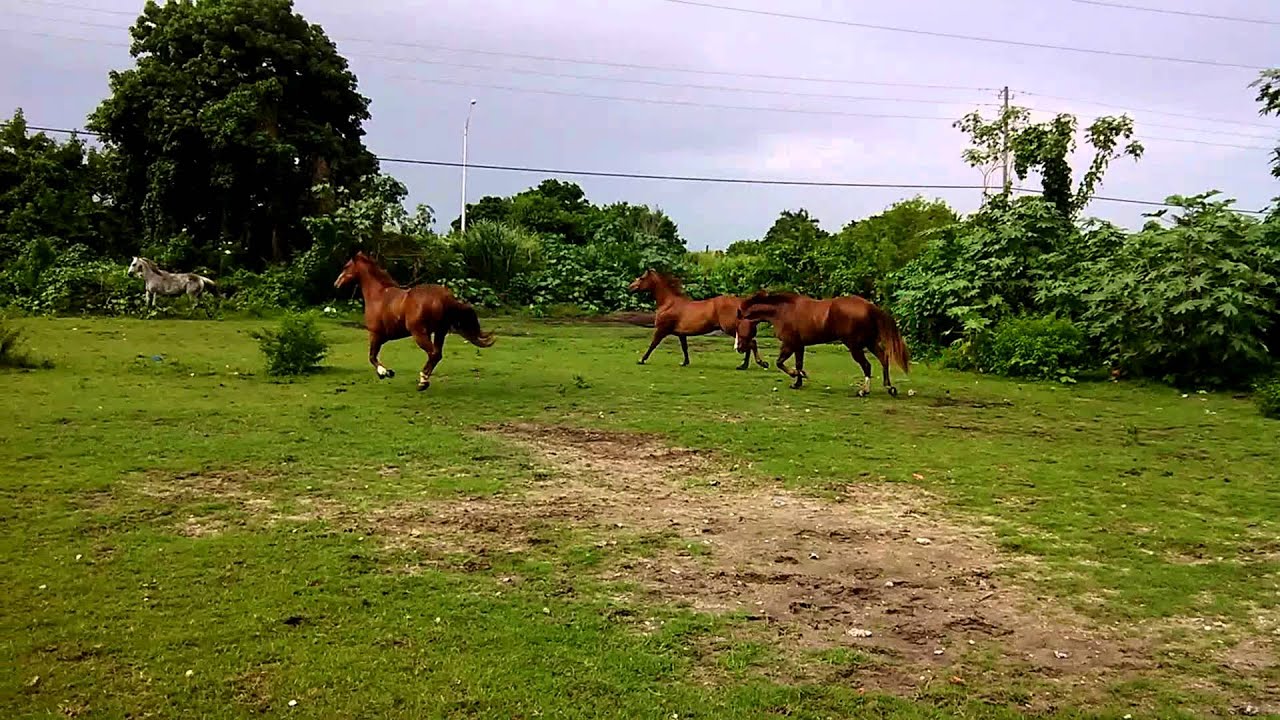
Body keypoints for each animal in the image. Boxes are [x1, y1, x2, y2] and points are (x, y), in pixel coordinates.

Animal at [334, 251, 495, 391]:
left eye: (346, 266)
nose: (336, 284)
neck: (378, 295)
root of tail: (445, 297)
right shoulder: (383, 337)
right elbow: (373, 356)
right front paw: (387, 372)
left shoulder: (375, 334)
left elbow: (372, 357)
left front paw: (384, 373)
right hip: (439, 332)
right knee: (437, 354)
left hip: (419, 333)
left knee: (433, 353)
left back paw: (423, 381)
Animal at [627, 268, 769, 370]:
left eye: (642, 278)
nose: (630, 287)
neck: (669, 303)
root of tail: (742, 303)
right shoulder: (681, 334)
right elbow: (684, 348)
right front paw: (684, 362)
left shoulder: (662, 330)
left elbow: (653, 344)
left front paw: (641, 360)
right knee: (750, 344)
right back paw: (743, 366)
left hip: (732, 329)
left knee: (751, 343)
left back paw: (760, 363)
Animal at [734, 290, 910, 396]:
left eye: (739, 326)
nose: (739, 348)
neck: (782, 311)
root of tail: (870, 307)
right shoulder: (799, 345)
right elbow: (798, 364)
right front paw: (798, 381)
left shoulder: (789, 344)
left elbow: (780, 363)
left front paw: (798, 375)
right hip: (869, 342)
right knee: (883, 358)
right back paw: (889, 387)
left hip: (855, 345)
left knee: (867, 365)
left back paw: (864, 391)